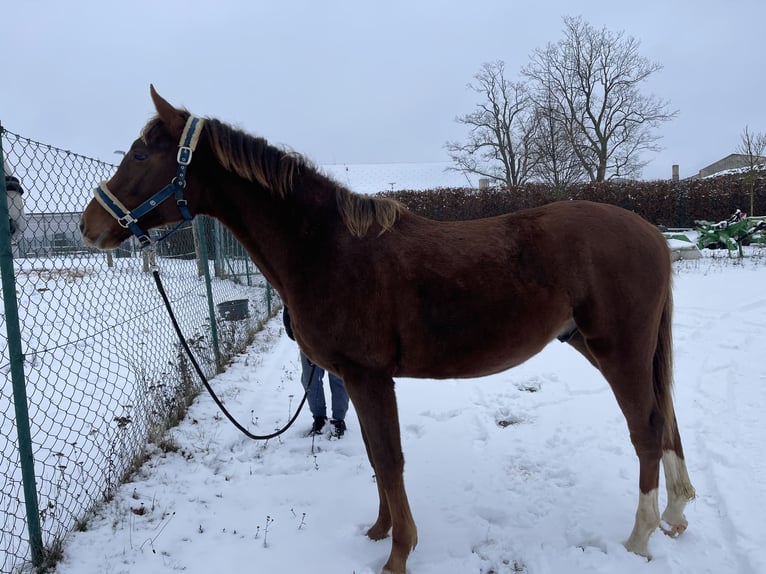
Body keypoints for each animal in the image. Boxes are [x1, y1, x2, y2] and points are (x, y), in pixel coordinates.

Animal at [80, 86, 695, 574]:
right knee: (666, 423)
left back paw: (639, 539)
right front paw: (378, 533)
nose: (89, 225)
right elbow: (377, 458)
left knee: (646, 430)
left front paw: (399, 555)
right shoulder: (357, 379)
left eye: (141, 152)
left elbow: (390, 458)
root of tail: (650, 233)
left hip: (618, 351)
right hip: (606, 348)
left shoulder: (370, 377)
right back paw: (675, 514)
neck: (328, 247)